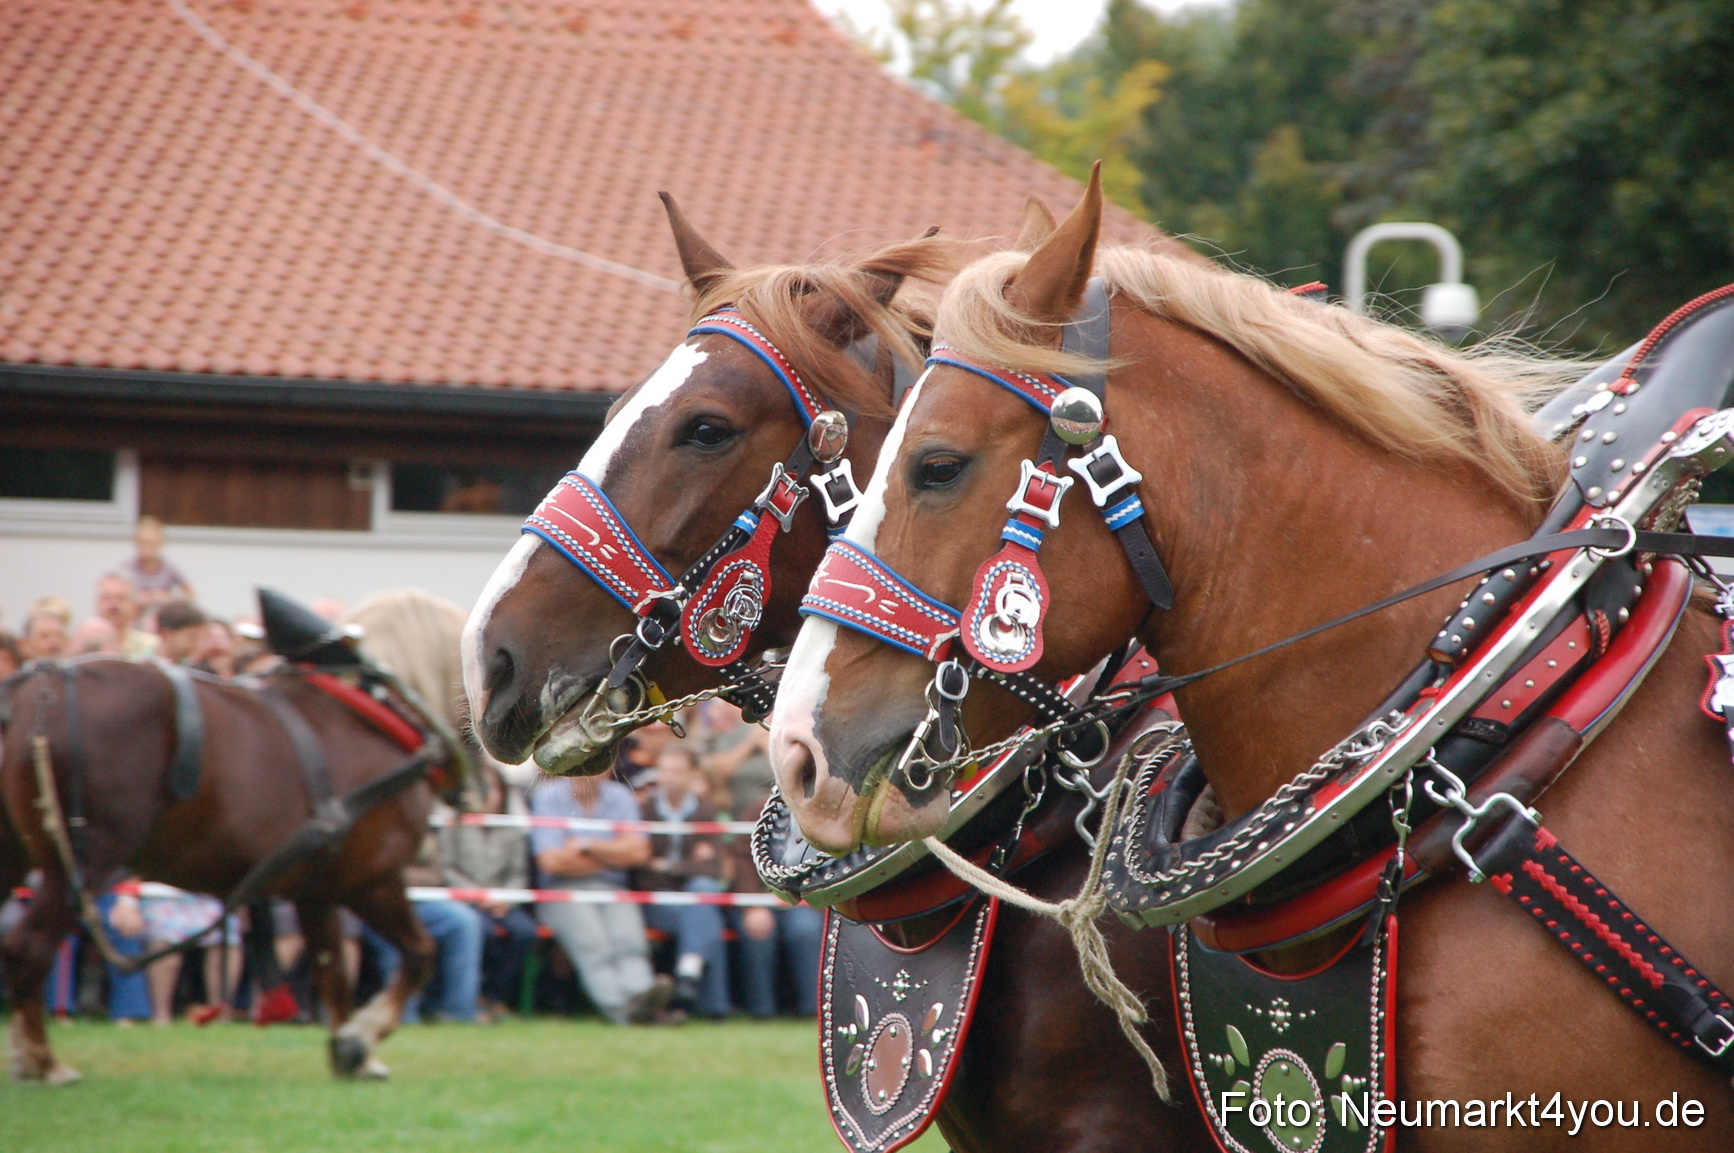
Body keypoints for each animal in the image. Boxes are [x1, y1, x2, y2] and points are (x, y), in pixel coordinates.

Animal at [0, 590, 469, 1084]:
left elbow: (332, 970)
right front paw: (362, 1037)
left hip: (16, 856)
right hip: (82, 862)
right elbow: (420, 954)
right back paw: (43, 1062)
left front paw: (348, 1050)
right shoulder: (373, 879)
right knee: (28, 950)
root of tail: (35, 690)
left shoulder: (317, 889)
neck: (374, 708)